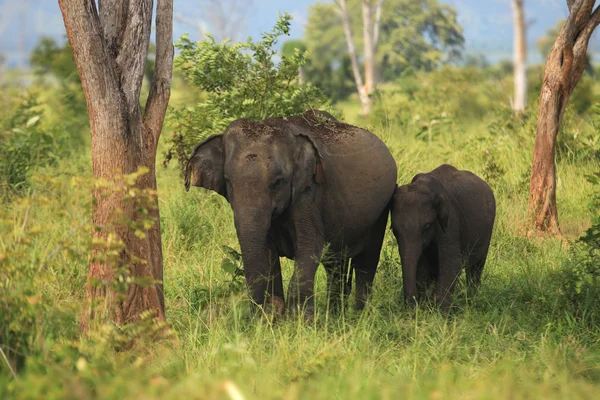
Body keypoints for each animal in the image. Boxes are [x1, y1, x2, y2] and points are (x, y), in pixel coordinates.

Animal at [185, 110, 396, 318]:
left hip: (381, 211)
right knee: (336, 265)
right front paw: (275, 319)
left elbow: (309, 247)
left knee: (366, 262)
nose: (269, 308)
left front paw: (301, 320)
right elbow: (267, 252)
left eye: (278, 182)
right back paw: (335, 316)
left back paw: (358, 316)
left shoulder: (310, 193)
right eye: (228, 181)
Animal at [392, 164, 494, 308]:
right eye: (394, 230)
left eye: (427, 227)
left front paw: (438, 310)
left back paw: (471, 301)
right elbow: (421, 266)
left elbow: (452, 264)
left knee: (476, 268)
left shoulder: (450, 222)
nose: (411, 306)